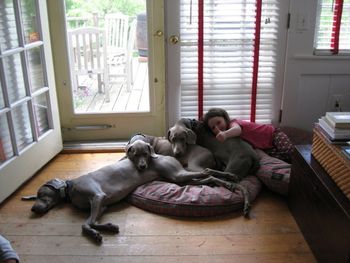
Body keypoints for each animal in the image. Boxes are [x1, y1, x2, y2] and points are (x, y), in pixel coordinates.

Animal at [30, 140, 238, 245]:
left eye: (41, 194)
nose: (33, 208)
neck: (71, 187)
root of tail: (165, 155)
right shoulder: (101, 205)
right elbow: (92, 221)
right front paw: (108, 227)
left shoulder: (97, 197)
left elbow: (86, 224)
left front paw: (95, 233)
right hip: (177, 178)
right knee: (206, 177)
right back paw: (227, 182)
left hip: (177, 174)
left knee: (206, 171)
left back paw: (230, 177)